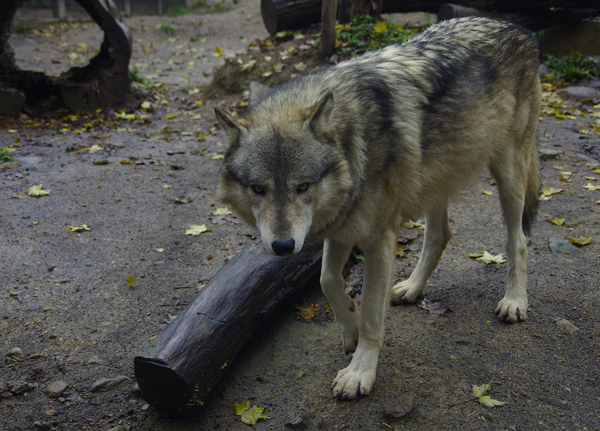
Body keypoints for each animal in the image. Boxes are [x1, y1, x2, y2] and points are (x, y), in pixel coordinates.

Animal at [213, 17, 540, 402]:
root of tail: (515, 27)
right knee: (441, 235)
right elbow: (327, 280)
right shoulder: (341, 227)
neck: (353, 142)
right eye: (258, 189)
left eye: (302, 187)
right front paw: (349, 329)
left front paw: (360, 372)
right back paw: (412, 288)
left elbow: (371, 312)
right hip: (434, 180)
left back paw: (514, 301)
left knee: (518, 239)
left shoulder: (379, 239)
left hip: (508, 176)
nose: (282, 247)